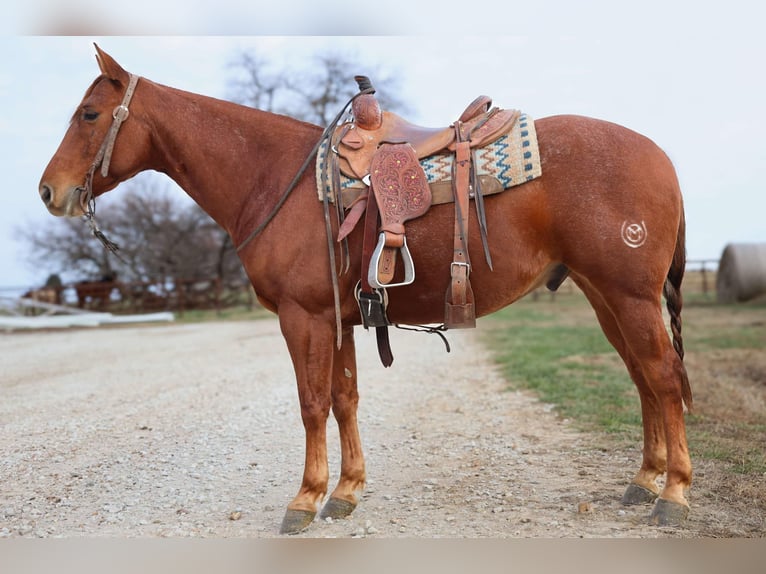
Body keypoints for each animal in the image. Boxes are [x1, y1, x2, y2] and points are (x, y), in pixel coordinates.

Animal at [37, 45, 696, 536]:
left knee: (663, 378)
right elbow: (344, 399)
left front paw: (304, 499)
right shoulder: (340, 318)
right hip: (606, 296)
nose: (49, 191)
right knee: (643, 378)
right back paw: (643, 482)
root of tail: (662, 157)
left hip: (629, 296)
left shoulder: (302, 317)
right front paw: (346, 492)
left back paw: (674, 494)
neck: (275, 176)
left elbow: (311, 403)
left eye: (90, 114)